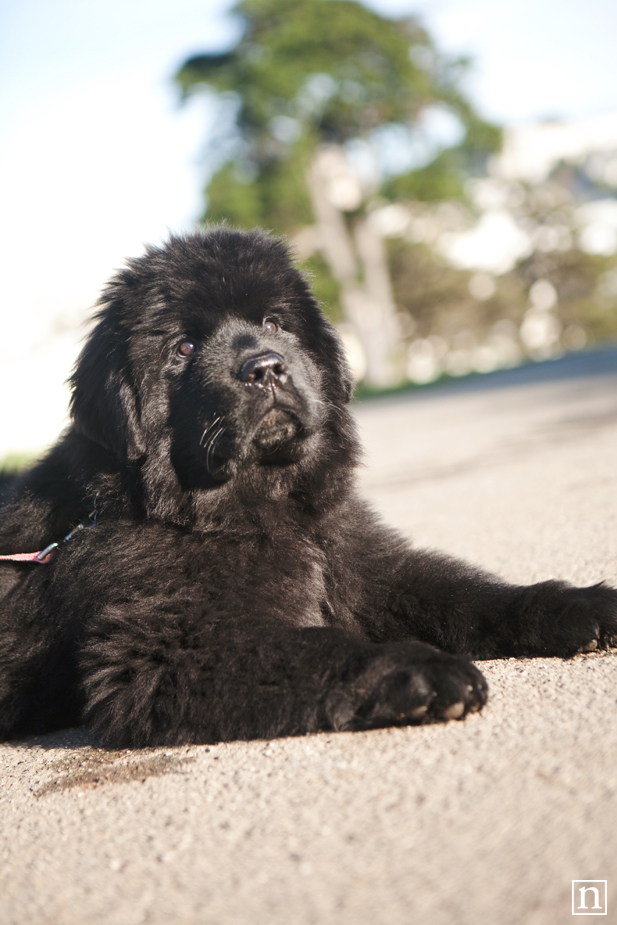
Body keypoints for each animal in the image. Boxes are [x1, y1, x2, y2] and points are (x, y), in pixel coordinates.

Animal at [1, 227, 616, 748]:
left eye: (274, 322)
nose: (266, 367)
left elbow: (467, 594)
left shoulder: (365, 565)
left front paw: (581, 604)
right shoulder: (164, 650)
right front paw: (419, 669)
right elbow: (317, 647)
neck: (262, 507)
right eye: (184, 348)